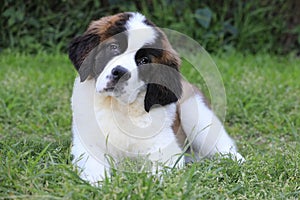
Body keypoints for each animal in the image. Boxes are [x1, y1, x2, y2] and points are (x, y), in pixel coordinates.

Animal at [68, 11, 244, 184]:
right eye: (113, 47)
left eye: (144, 61)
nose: (120, 73)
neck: (118, 106)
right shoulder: (87, 143)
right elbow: (93, 164)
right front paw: (98, 183)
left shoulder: (165, 148)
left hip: (195, 113)